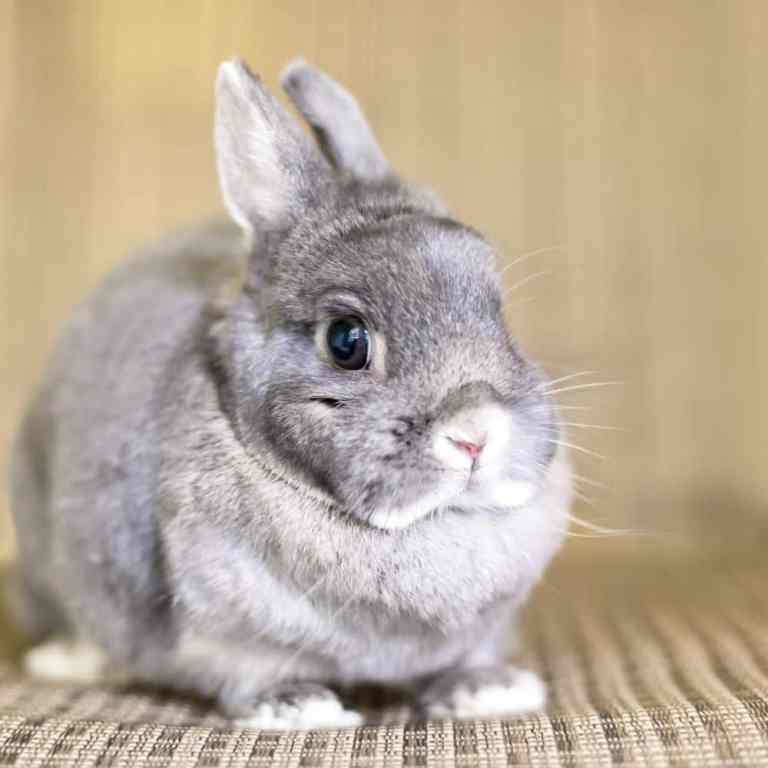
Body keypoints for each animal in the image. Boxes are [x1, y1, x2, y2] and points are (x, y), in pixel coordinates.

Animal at [9, 58, 571, 729]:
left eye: (498, 312)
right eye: (346, 340)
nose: (476, 434)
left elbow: (466, 658)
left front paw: (490, 692)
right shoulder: (223, 633)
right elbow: (250, 672)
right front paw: (300, 708)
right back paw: (72, 660)